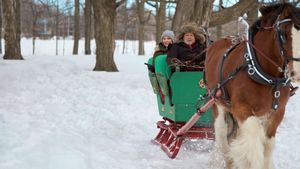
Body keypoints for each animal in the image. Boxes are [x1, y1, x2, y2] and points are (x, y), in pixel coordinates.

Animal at [205, 2, 300, 169]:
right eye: (283, 34)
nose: (298, 72)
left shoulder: (277, 112)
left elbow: (267, 145)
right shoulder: (242, 109)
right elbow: (253, 141)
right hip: (217, 101)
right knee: (222, 131)